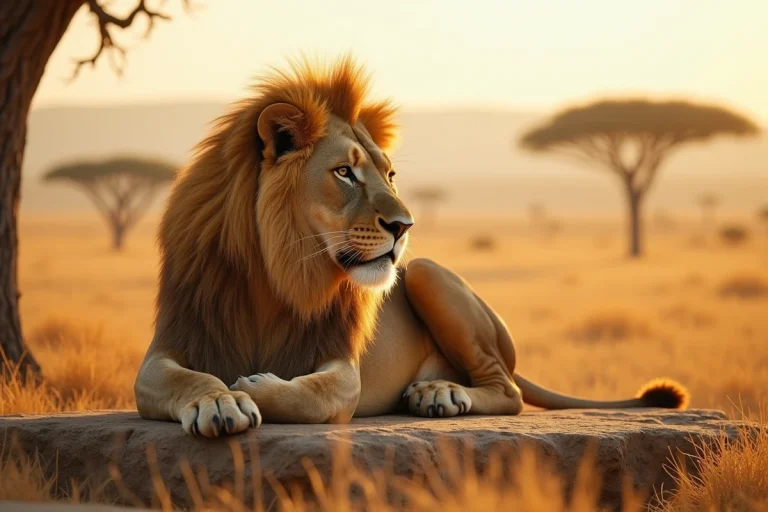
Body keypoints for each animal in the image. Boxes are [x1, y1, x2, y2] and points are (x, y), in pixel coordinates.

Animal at [134, 56, 688, 437]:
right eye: (345, 172)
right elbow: (186, 379)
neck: (276, 274)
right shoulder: (163, 351)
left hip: (427, 274)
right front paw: (218, 401)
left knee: (507, 390)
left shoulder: (341, 363)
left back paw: (440, 394)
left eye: (390, 173)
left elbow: (317, 394)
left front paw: (253, 389)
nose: (405, 226)